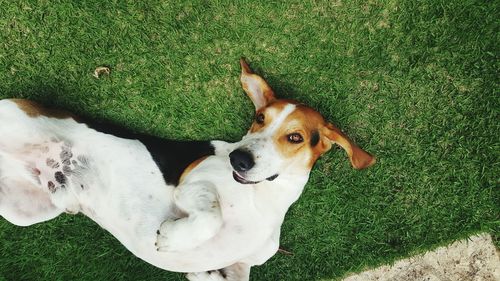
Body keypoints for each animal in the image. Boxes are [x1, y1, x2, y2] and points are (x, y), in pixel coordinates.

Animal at [0, 58, 376, 278]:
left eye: (295, 136)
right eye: (259, 118)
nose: (238, 159)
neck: (263, 197)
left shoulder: (238, 267)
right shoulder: (191, 187)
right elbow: (212, 215)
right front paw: (173, 238)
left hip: (22, 210)